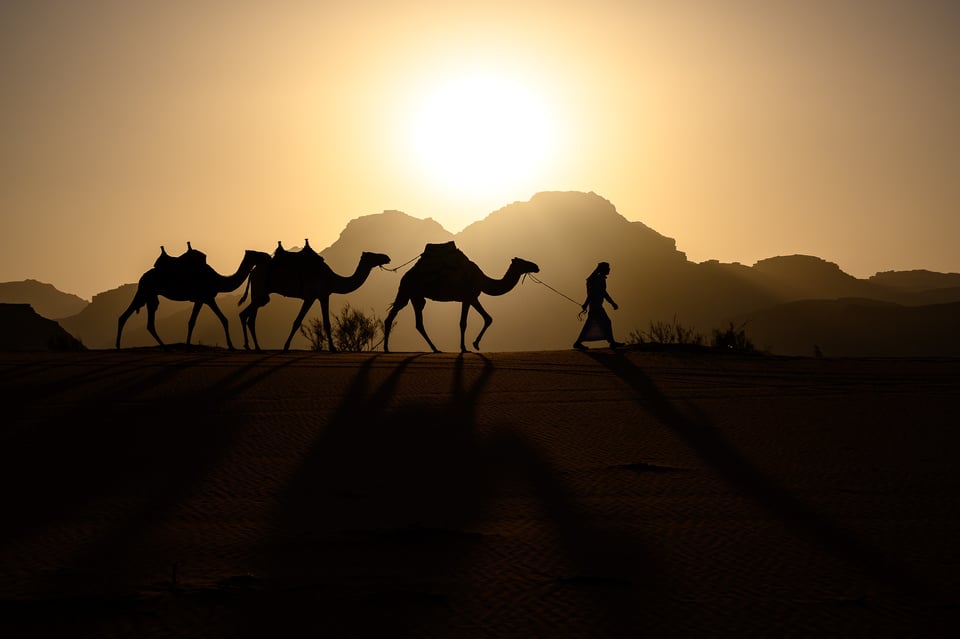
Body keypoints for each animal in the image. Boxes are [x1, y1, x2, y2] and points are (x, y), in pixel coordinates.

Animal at [118, 242, 274, 350]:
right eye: (256, 253)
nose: (267, 255)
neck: (218, 280)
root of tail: (142, 277)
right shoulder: (204, 298)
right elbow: (196, 321)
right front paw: (188, 347)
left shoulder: (205, 299)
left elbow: (221, 319)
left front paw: (231, 346)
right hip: (146, 290)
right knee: (138, 318)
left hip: (147, 293)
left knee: (131, 318)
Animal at [237, 239, 390, 350]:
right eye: (372, 255)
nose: (387, 257)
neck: (332, 278)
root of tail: (253, 272)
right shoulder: (313, 296)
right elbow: (299, 322)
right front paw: (286, 346)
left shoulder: (322, 295)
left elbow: (326, 323)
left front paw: (332, 348)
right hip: (261, 291)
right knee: (247, 315)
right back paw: (252, 347)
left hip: (259, 293)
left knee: (249, 317)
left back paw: (254, 347)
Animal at [382, 242, 540, 356]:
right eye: (523, 262)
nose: (536, 266)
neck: (483, 280)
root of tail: (405, 275)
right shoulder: (468, 297)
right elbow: (464, 323)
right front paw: (466, 347)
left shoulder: (472, 298)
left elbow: (488, 318)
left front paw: (475, 344)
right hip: (409, 290)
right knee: (409, 320)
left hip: (413, 295)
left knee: (407, 320)